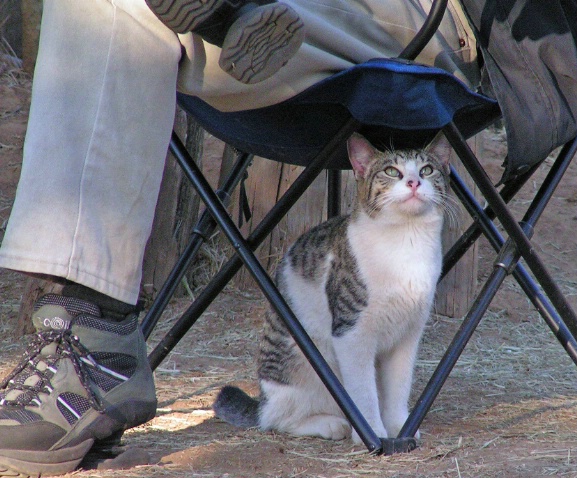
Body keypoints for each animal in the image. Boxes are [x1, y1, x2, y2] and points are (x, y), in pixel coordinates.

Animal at [214, 132, 452, 444]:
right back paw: (331, 424)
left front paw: (400, 427)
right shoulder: (351, 333)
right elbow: (363, 393)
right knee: (277, 419)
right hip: (303, 366)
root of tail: (262, 400)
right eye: (392, 172)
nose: (414, 182)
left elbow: (399, 388)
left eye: (427, 170)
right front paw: (372, 433)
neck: (406, 243)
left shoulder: (408, 335)